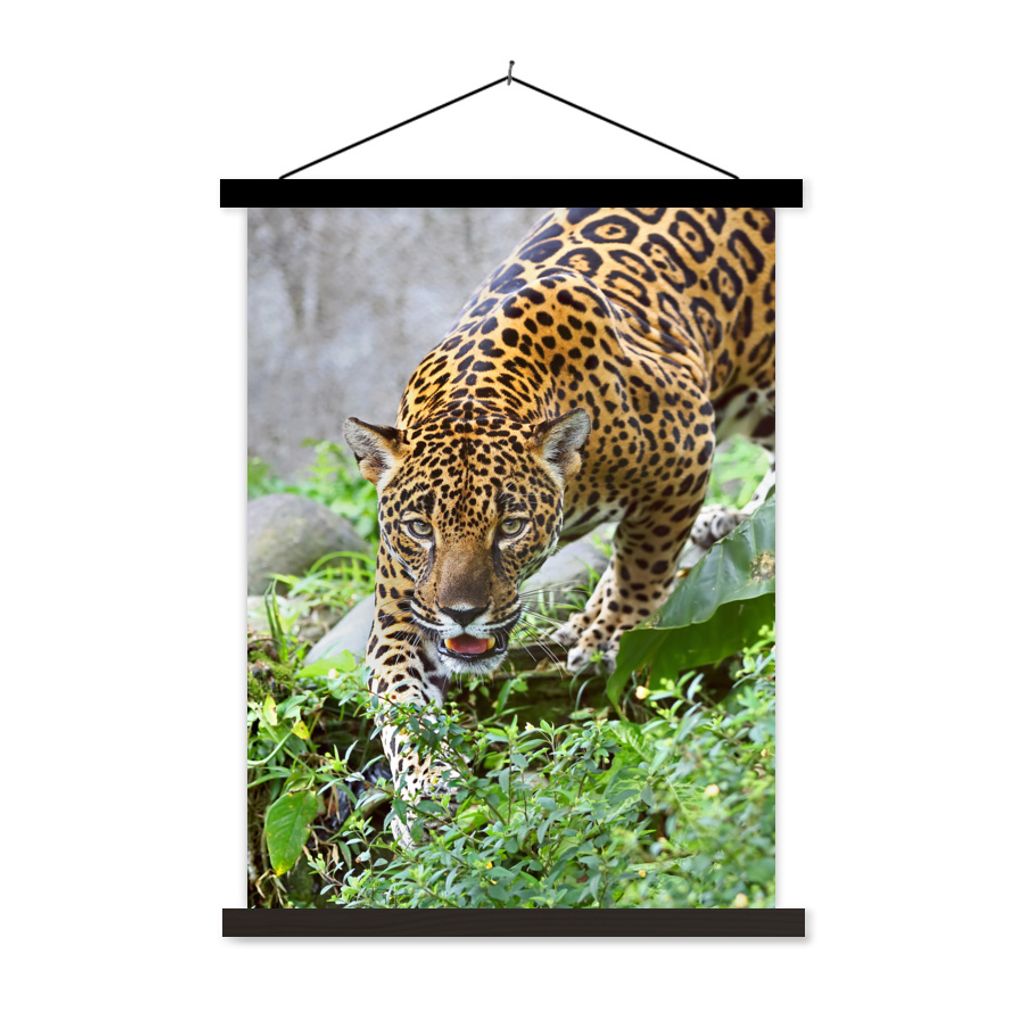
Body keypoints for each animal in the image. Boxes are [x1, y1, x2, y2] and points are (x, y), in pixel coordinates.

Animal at [343, 207, 775, 842]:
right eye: (420, 529)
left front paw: (608, 635)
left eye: (511, 526)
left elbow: (643, 561)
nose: (462, 613)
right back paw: (730, 521)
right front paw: (426, 792)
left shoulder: (688, 445)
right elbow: (400, 700)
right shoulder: (403, 606)